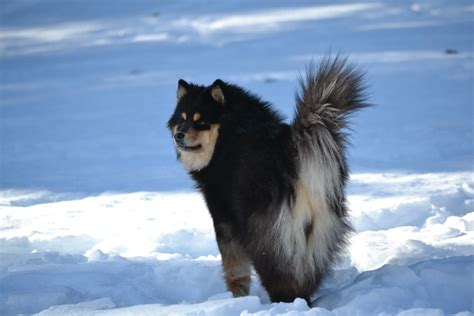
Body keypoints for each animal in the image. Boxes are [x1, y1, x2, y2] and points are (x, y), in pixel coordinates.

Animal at [168, 57, 368, 304]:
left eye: (201, 121)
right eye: (182, 119)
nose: (179, 135)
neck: (229, 131)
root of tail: (291, 155)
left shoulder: (223, 216)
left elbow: (234, 270)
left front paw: (236, 297)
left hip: (268, 238)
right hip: (318, 234)